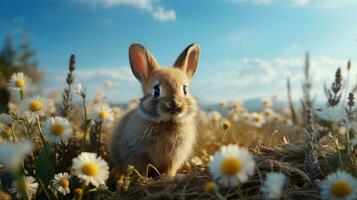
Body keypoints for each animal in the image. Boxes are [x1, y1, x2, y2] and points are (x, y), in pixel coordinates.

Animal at [110, 42, 200, 177]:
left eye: (185, 90)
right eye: (156, 90)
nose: (174, 104)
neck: (167, 122)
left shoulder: (172, 159)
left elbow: (169, 170)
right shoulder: (138, 155)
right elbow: (140, 170)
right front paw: (141, 179)